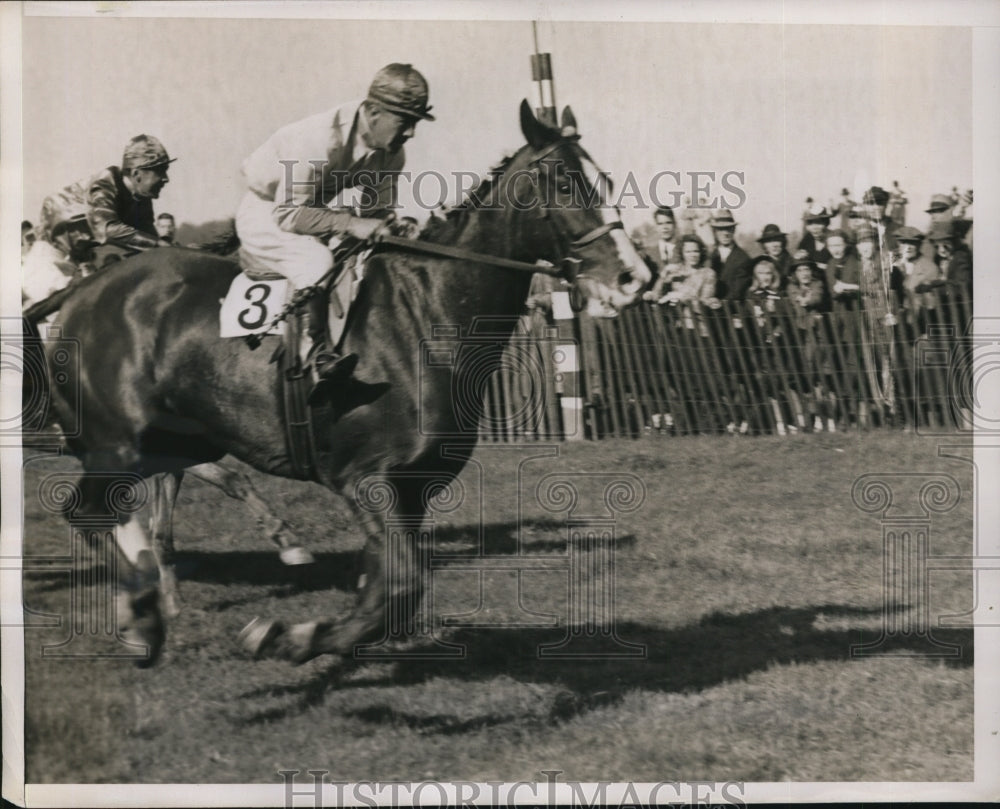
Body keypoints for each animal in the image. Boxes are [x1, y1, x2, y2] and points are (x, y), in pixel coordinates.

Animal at [47, 102, 648, 664]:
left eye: (606, 179)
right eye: (565, 182)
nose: (634, 278)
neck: (427, 312)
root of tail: (82, 291)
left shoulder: (415, 487)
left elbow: (387, 590)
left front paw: (322, 634)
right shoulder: (367, 479)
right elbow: (401, 585)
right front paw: (286, 636)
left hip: (176, 441)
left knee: (120, 511)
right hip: (118, 441)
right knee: (87, 512)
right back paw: (143, 620)